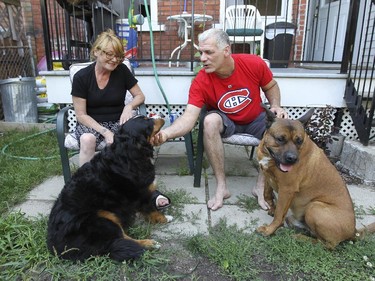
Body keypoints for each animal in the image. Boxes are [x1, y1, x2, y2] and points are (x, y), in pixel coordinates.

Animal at [47, 114, 170, 260]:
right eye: (147, 121)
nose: (162, 114)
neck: (127, 154)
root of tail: (57, 248)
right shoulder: (141, 192)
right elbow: (151, 209)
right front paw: (164, 218)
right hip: (103, 217)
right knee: (120, 239)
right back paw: (149, 243)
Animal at [258, 105, 368, 247]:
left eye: (299, 141)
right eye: (280, 139)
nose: (293, 159)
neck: (269, 156)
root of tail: (353, 232)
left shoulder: (287, 189)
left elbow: (279, 214)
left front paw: (270, 229)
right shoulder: (268, 175)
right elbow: (267, 194)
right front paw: (272, 208)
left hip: (315, 207)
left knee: (326, 244)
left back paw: (300, 237)